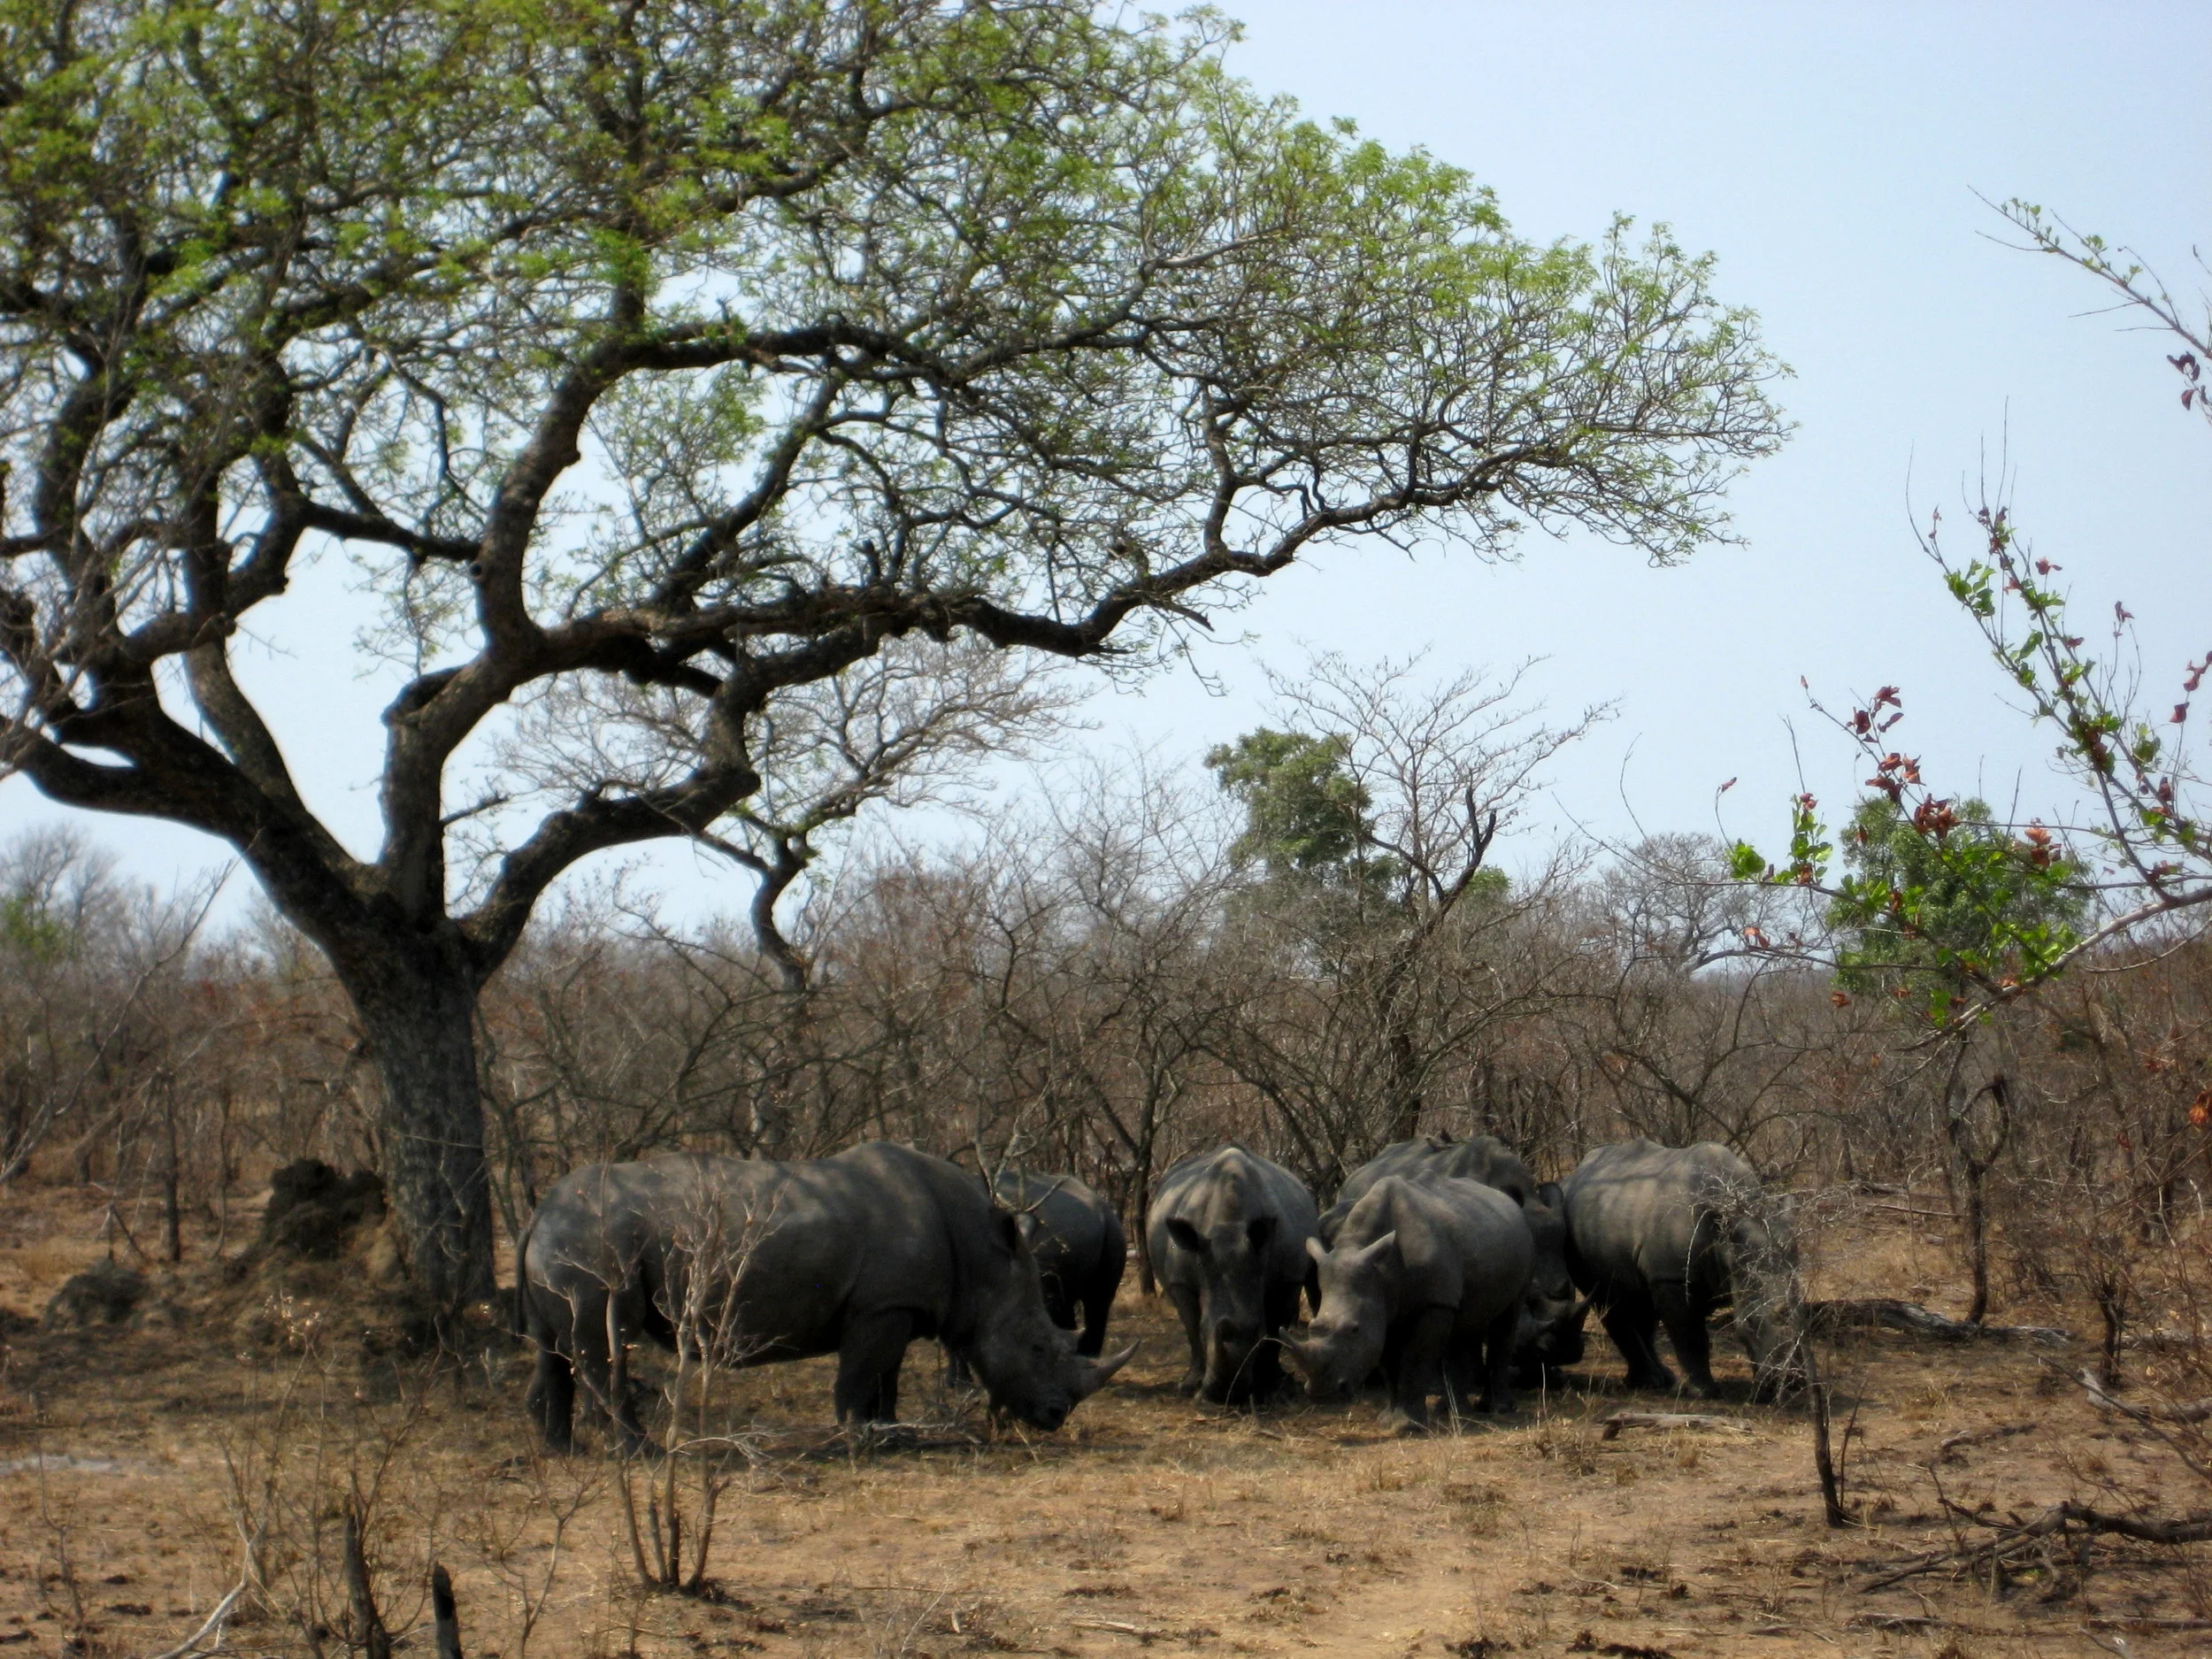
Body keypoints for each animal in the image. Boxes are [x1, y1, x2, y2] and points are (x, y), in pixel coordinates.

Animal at [1147, 1144, 1319, 1404]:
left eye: (1257, 1332)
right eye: (1205, 1330)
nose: (1225, 1394)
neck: (1229, 1227)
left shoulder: (1287, 1278)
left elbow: (1275, 1330)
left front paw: (1275, 1386)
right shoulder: (1179, 1281)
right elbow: (1191, 1329)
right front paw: (1189, 1386)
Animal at [1285, 1174, 1533, 1429]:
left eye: (1354, 1330)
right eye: (1312, 1327)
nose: (1323, 1393)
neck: (1381, 1270)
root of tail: (1509, 1200)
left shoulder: (1433, 1302)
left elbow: (1416, 1359)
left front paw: (1408, 1426)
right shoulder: (1383, 1307)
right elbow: (1388, 1363)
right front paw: (1386, 1421)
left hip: (1521, 1246)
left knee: (1508, 1318)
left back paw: (1496, 1409)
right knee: (1467, 1321)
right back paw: (1453, 1412)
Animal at [1561, 1138, 1802, 1401]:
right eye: (1749, 1323)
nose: (1793, 1381)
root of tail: (1574, 1174)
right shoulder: (1672, 1276)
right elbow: (1690, 1335)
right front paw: (1704, 1393)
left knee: (1642, 1305)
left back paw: (1661, 1380)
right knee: (1609, 1301)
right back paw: (1650, 1382)